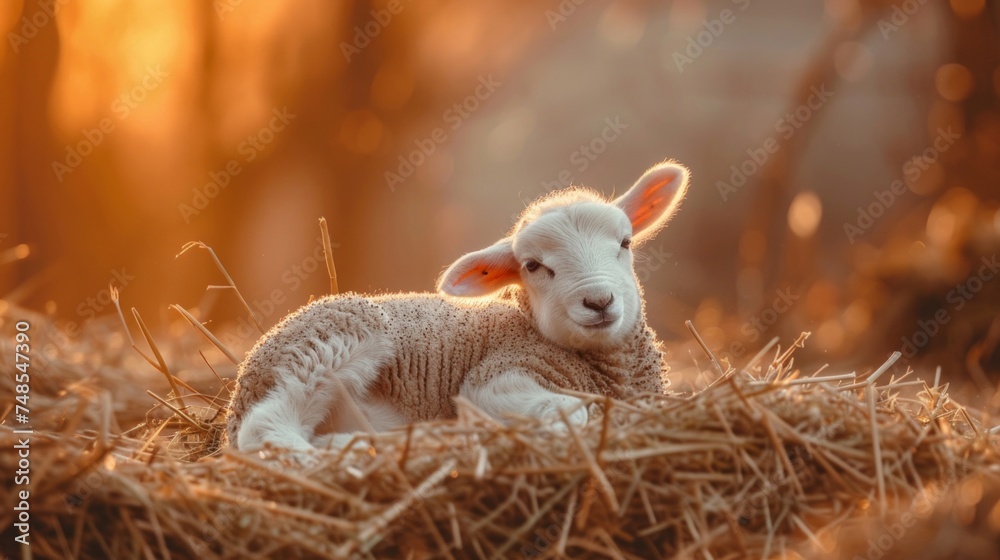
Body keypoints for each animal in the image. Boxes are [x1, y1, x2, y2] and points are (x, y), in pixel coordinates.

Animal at [226, 160, 690, 452]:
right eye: (533, 265)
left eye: (625, 243)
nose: (598, 300)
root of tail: (240, 386)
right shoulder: (496, 377)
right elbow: (568, 412)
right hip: (329, 340)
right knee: (265, 428)